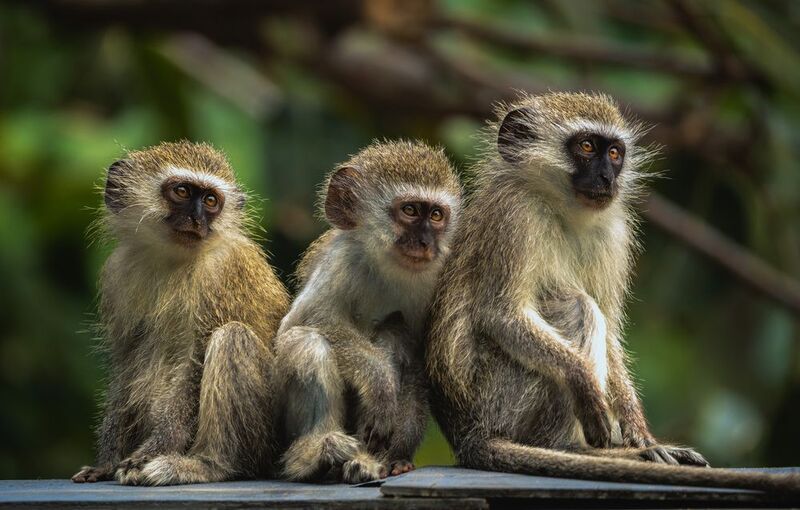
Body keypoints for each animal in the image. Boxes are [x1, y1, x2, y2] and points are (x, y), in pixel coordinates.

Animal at [71, 141, 290, 486]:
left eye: (211, 200)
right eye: (183, 192)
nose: (198, 219)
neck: (171, 258)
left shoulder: (223, 271)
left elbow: (195, 361)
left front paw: (154, 450)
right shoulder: (116, 273)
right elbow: (125, 362)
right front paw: (106, 462)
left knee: (232, 338)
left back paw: (208, 465)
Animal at [273, 140, 462, 483]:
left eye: (436, 215)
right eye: (410, 211)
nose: (425, 242)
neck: (391, 269)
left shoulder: (440, 277)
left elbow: (418, 361)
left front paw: (397, 455)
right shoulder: (342, 259)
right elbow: (309, 319)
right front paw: (379, 385)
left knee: (395, 332)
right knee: (307, 341)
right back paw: (317, 455)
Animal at [426, 92, 800, 493]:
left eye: (616, 153)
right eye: (587, 146)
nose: (607, 177)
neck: (563, 210)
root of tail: (468, 436)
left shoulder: (614, 233)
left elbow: (612, 332)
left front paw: (641, 433)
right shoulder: (514, 215)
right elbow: (501, 314)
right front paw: (584, 383)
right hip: (501, 400)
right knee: (577, 307)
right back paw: (571, 448)